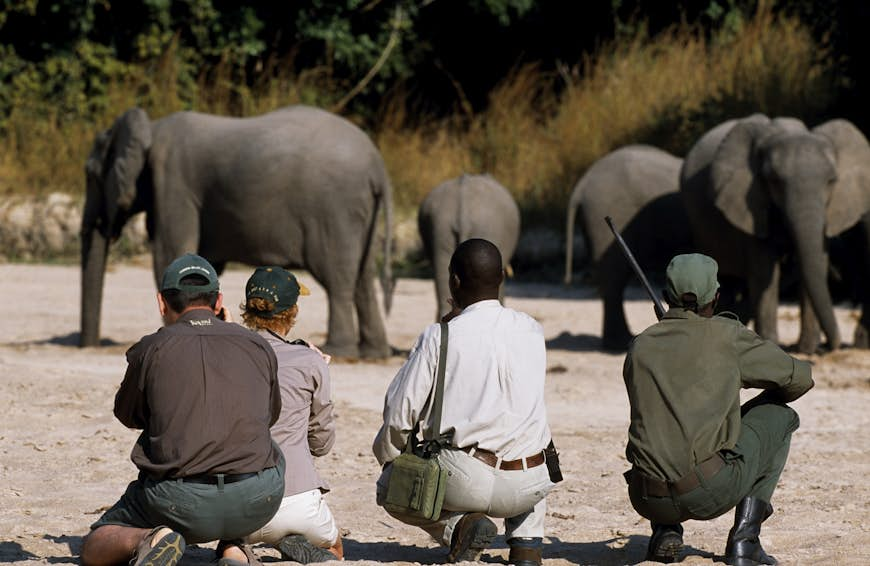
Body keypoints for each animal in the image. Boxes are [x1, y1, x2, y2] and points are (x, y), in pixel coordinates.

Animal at [82, 104, 396, 358]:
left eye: (91, 175)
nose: (90, 344)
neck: (152, 126)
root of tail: (378, 166)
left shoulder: (173, 184)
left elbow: (171, 252)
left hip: (335, 210)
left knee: (337, 277)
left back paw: (338, 351)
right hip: (358, 212)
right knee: (363, 277)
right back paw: (373, 353)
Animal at [680, 114, 870, 356]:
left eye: (831, 181)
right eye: (774, 181)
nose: (830, 347)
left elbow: (811, 264)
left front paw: (806, 350)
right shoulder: (750, 204)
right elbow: (765, 272)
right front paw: (770, 344)